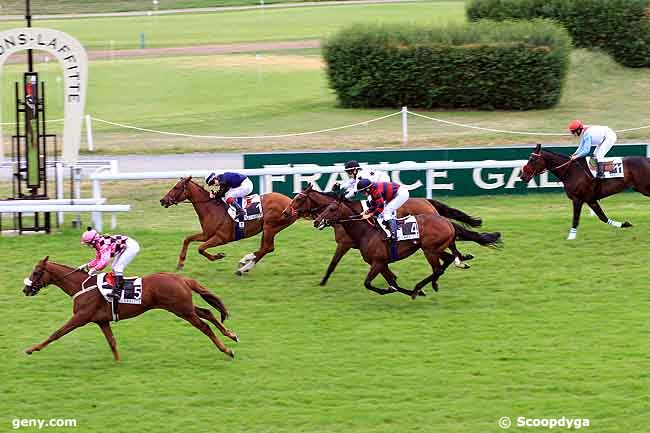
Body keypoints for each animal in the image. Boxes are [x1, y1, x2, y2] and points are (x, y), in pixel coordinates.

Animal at [20, 255, 239, 360]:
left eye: (37, 272)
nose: (26, 289)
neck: (81, 286)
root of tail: (181, 278)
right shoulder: (101, 320)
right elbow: (112, 342)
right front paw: (118, 362)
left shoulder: (80, 317)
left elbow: (57, 333)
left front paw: (32, 348)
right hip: (184, 306)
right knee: (208, 313)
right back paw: (231, 335)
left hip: (181, 309)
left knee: (204, 326)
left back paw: (227, 350)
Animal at [159, 176, 296, 274]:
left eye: (176, 187)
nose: (162, 200)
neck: (211, 209)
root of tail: (291, 202)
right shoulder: (206, 234)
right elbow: (187, 239)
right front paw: (180, 263)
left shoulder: (221, 237)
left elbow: (200, 248)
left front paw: (218, 256)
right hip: (270, 228)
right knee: (266, 248)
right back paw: (245, 264)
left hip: (270, 227)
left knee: (267, 248)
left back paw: (243, 266)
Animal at [280, 184, 484, 286]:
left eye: (299, 198)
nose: (285, 212)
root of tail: (427, 202)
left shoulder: (344, 244)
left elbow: (332, 264)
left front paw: (322, 282)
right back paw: (462, 260)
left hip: (428, 246)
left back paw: (458, 261)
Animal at [312, 198, 498, 296]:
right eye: (325, 207)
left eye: (332, 208)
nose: (316, 221)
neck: (366, 231)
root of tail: (447, 222)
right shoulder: (381, 263)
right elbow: (392, 281)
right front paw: (397, 289)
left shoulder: (378, 262)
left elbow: (368, 283)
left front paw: (394, 291)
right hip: (434, 249)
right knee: (447, 260)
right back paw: (435, 281)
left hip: (429, 250)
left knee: (438, 268)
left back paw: (420, 287)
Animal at [520, 144, 648, 240]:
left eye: (532, 160)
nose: (522, 176)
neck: (571, 171)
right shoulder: (590, 199)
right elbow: (602, 217)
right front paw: (624, 224)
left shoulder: (578, 199)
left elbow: (576, 219)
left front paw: (571, 237)